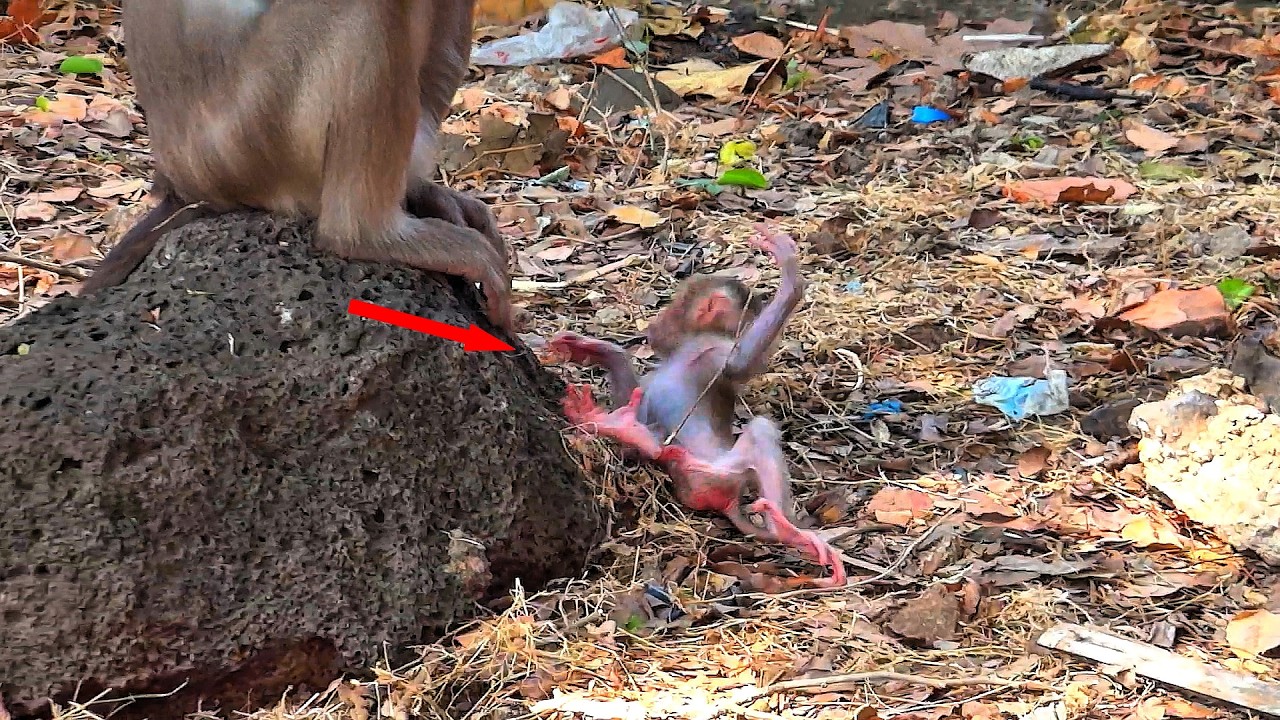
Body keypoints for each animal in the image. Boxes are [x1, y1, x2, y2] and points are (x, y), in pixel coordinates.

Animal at [547, 225, 847, 588]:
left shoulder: (711, 348)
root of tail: (726, 499)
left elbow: (735, 366)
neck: (683, 348)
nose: (653, 329)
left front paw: (790, 276)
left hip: (726, 470)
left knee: (754, 432)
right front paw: (599, 350)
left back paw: (784, 529)